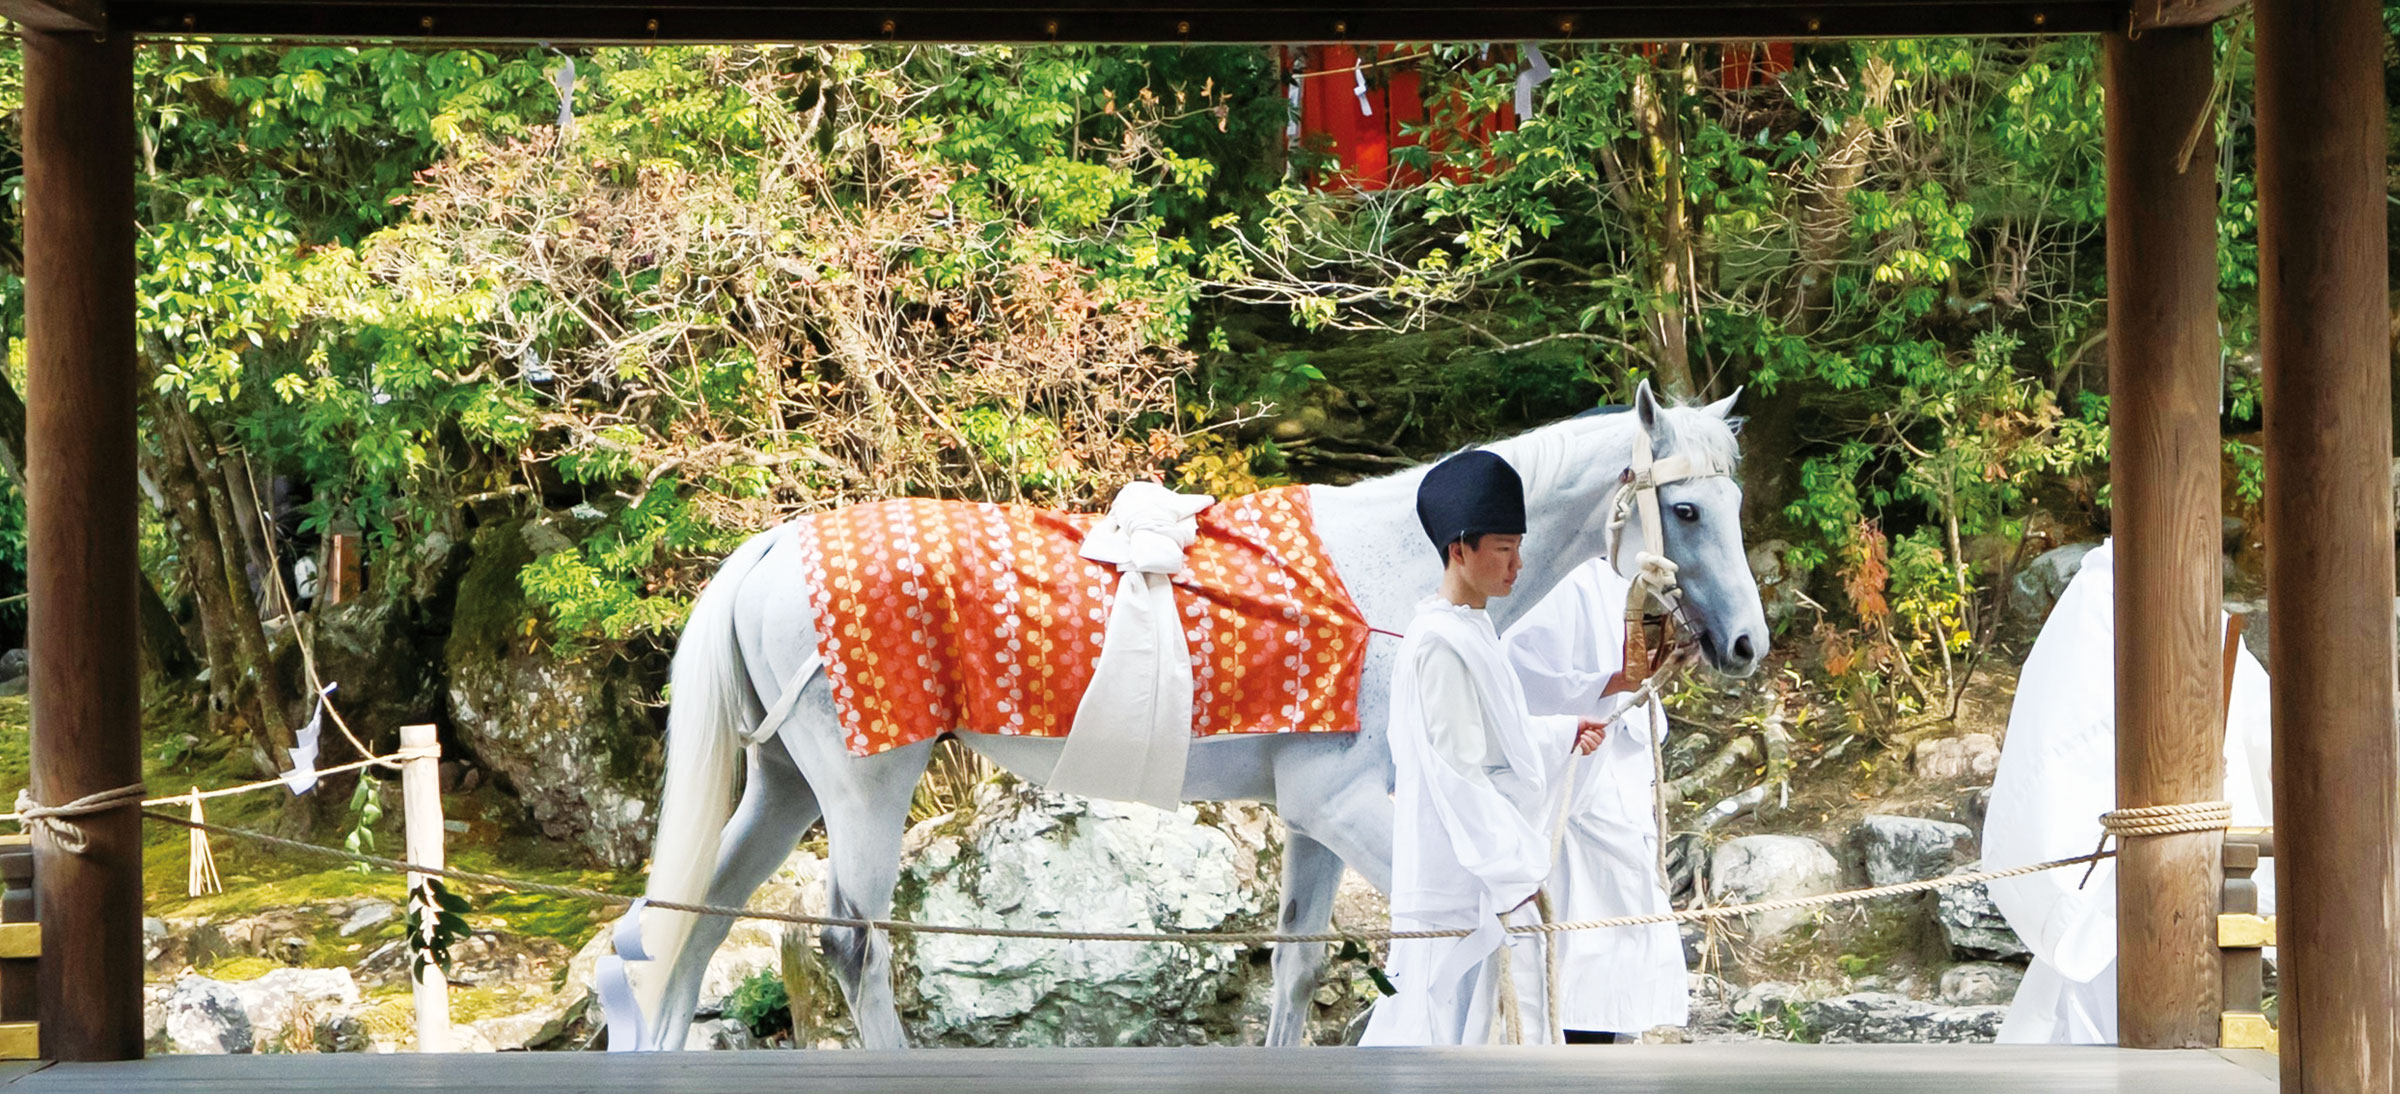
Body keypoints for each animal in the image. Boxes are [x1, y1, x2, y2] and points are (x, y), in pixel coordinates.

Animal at [622, 380, 1768, 1050]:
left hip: (784, 784)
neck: (1399, 577)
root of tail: (776, 546)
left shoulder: (1311, 812)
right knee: (851, 946)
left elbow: (1300, 964)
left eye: (1735, 503)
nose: (1750, 644)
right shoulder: (1346, 798)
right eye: (1685, 508)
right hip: (867, 781)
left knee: (692, 921)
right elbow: (1487, 926)